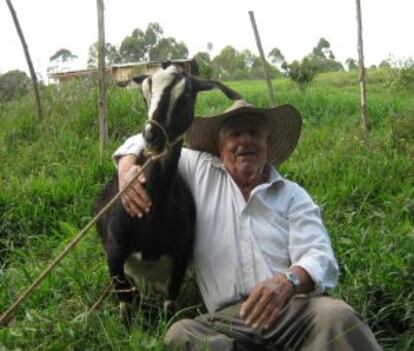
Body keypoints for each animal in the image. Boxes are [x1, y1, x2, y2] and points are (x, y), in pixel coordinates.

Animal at [92, 64, 241, 328]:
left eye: (186, 94)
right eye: (145, 93)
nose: (151, 135)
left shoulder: (180, 259)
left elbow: (170, 306)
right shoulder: (114, 255)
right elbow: (125, 305)